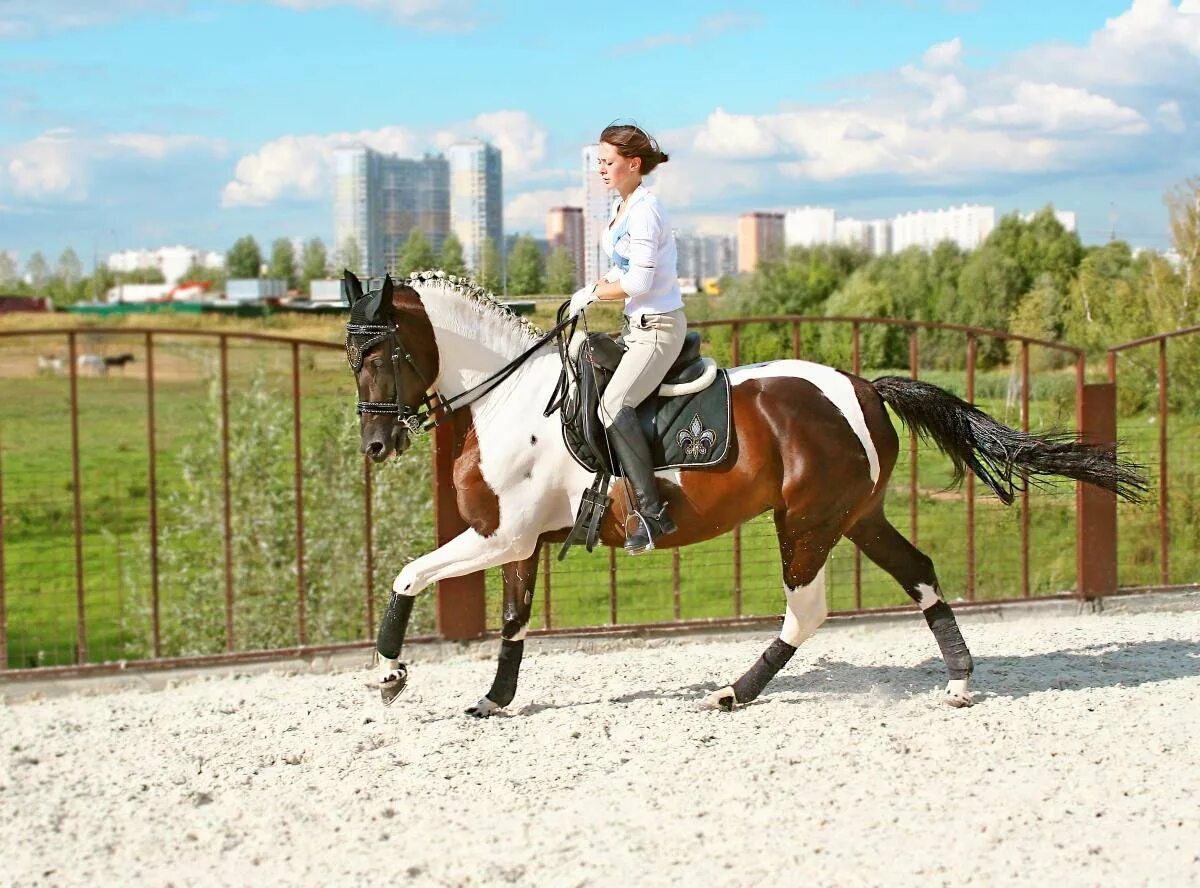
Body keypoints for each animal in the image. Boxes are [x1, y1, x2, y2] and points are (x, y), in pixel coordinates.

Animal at [340, 268, 1142, 715]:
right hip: (856, 516)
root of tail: (864, 386)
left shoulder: (500, 535)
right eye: (351, 356)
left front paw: (389, 675)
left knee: (807, 610)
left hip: (807, 522)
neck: (510, 397)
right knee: (919, 574)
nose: (377, 446)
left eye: (377, 353)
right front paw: (494, 700)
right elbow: (511, 622)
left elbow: (409, 576)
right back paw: (960, 683)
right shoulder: (517, 540)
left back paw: (734, 692)